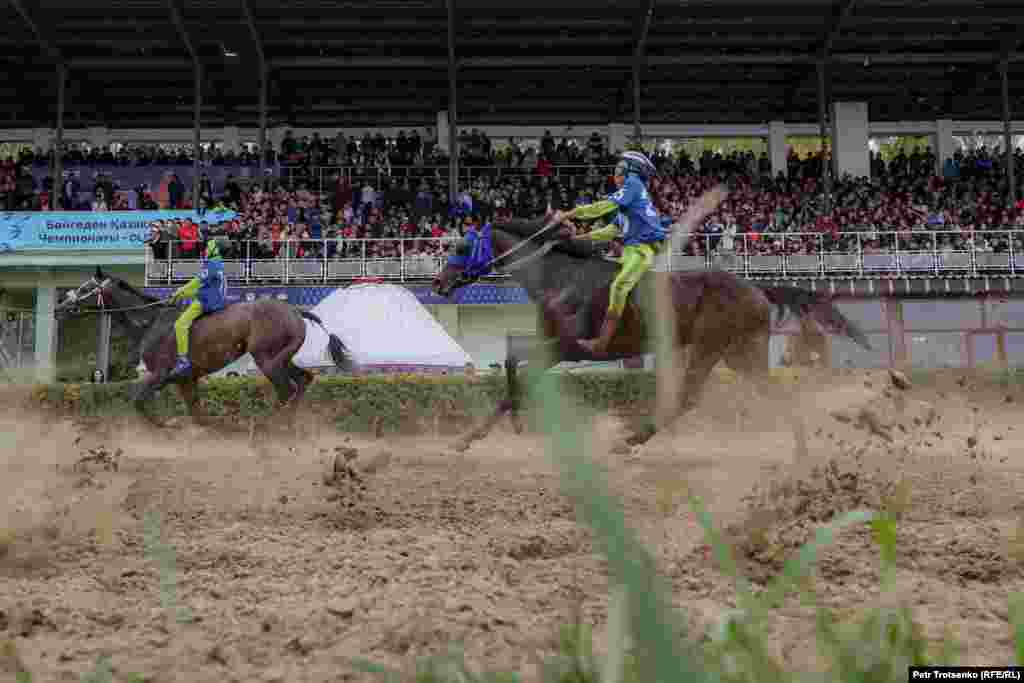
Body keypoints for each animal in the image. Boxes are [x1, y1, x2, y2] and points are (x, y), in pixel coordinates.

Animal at [55, 266, 356, 428]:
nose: (59, 308)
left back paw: (268, 424)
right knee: (304, 381)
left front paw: (167, 424)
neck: (149, 321)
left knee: (286, 391)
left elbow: (139, 401)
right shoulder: (185, 381)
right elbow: (198, 415)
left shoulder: (160, 374)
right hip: (281, 358)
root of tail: (294, 311)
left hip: (266, 360)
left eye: (85, 288)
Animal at [432, 215, 872, 448]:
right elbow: (511, 366)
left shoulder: (571, 347)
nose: (438, 283)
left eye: (461, 248)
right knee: (776, 393)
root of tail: (756, 289)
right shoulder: (550, 343)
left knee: (688, 397)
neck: (560, 277)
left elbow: (516, 365)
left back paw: (632, 439)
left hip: (710, 345)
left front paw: (504, 426)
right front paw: (473, 435)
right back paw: (801, 447)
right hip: (739, 352)